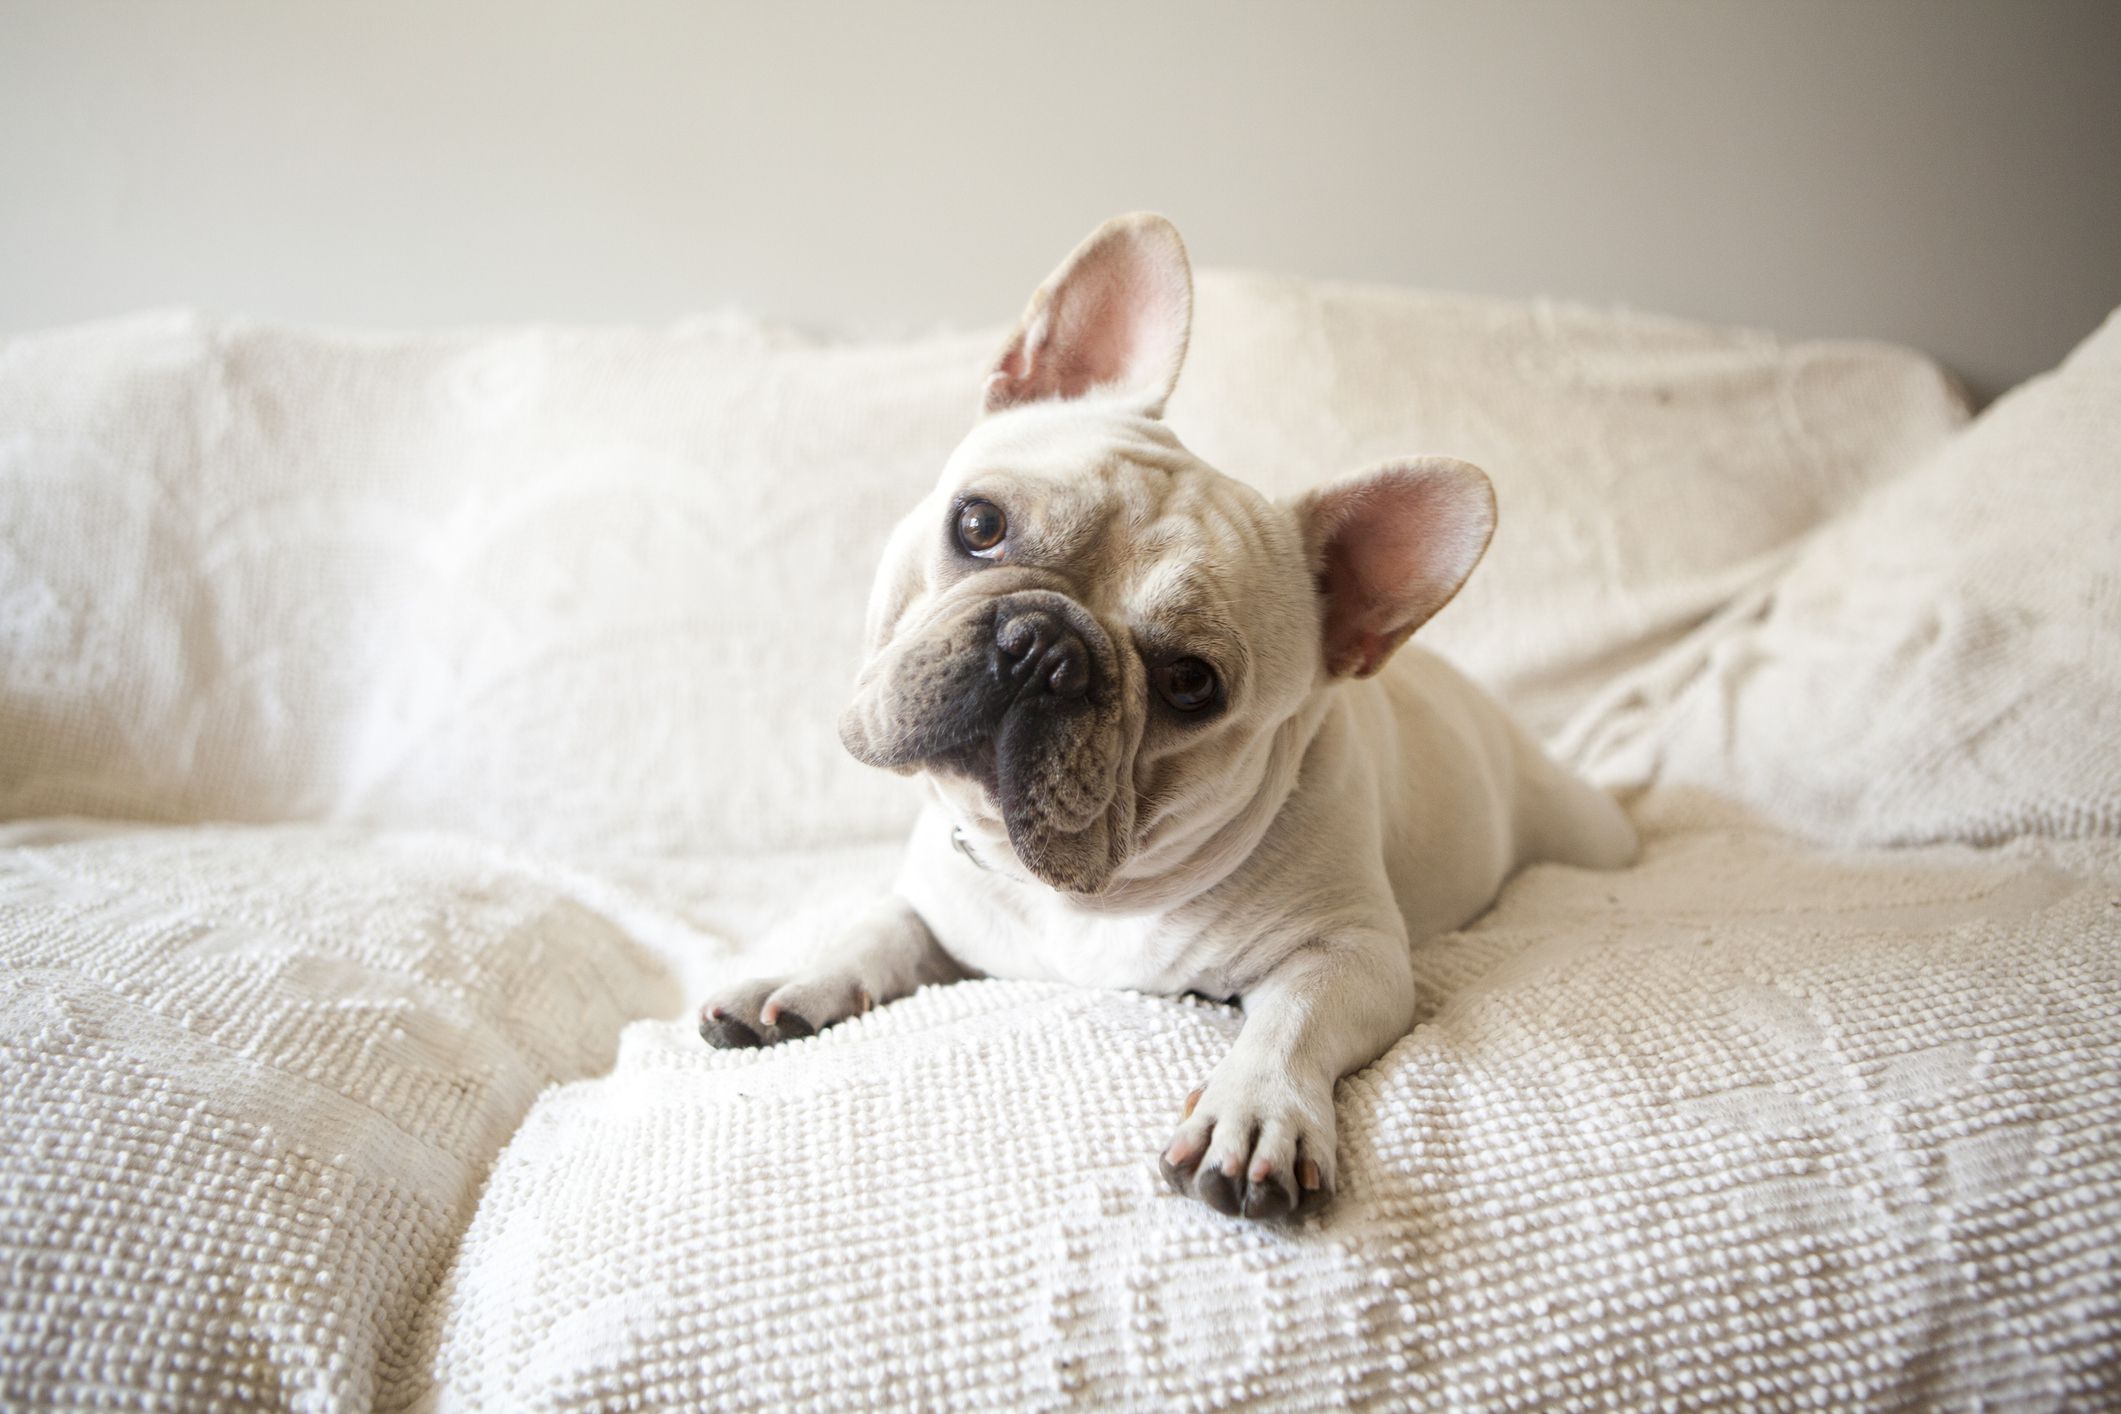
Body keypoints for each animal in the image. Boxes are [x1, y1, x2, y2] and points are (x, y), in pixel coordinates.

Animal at [699, 216, 1637, 1221]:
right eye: (978, 524)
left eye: (1191, 682)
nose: (1041, 646)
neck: (1080, 891)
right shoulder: (936, 902)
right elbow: (876, 929)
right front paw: (800, 978)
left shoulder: (1353, 954)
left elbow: (1292, 1023)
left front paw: (1256, 1113)